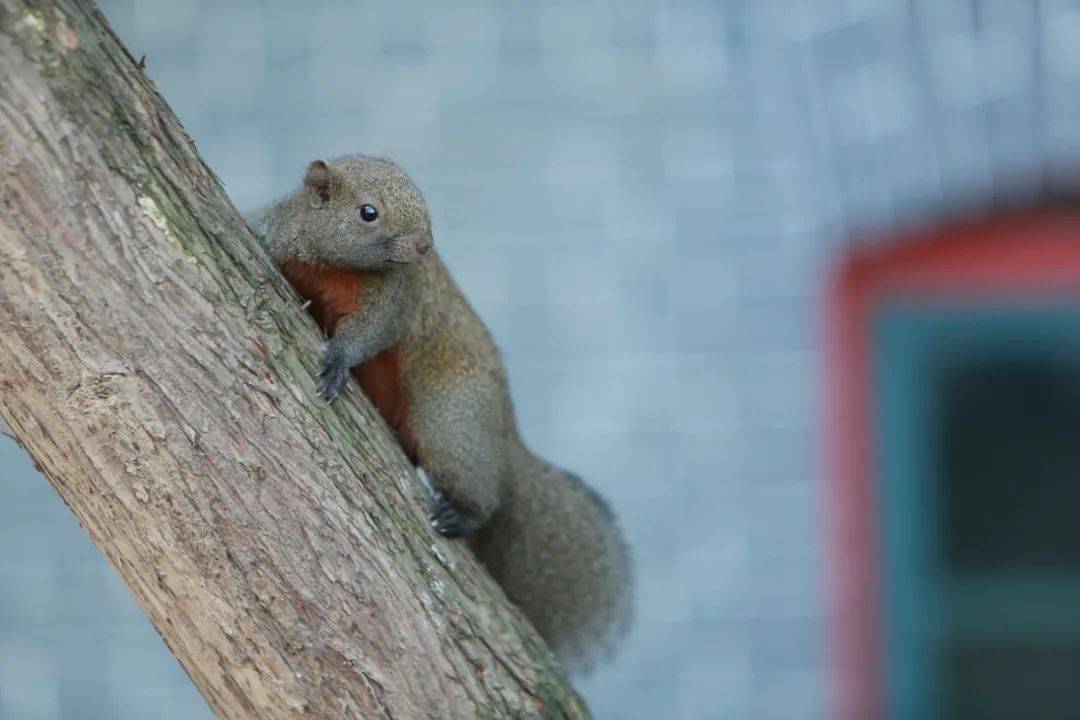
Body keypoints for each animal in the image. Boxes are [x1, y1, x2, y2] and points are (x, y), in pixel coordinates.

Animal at [247, 155, 630, 673]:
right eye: (368, 212)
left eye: (422, 195)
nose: (425, 245)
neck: (333, 263)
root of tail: (507, 436)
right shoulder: (278, 239)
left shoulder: (397, 298)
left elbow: (367, 335)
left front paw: (338, 361)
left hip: (450, 424)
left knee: (485, 500)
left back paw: (460, 516)